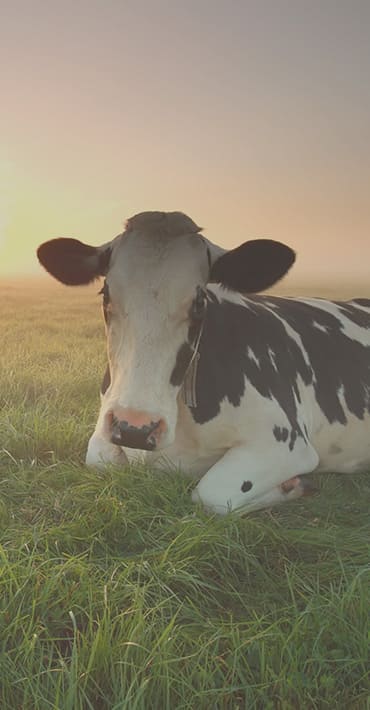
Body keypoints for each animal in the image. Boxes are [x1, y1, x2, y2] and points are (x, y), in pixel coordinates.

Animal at [36, 211, 370, 516]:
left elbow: (213, 494)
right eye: (105, 294)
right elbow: (100, 461)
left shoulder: (286, 442)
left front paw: (293, 486)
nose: (135, 427)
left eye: (199, 303)